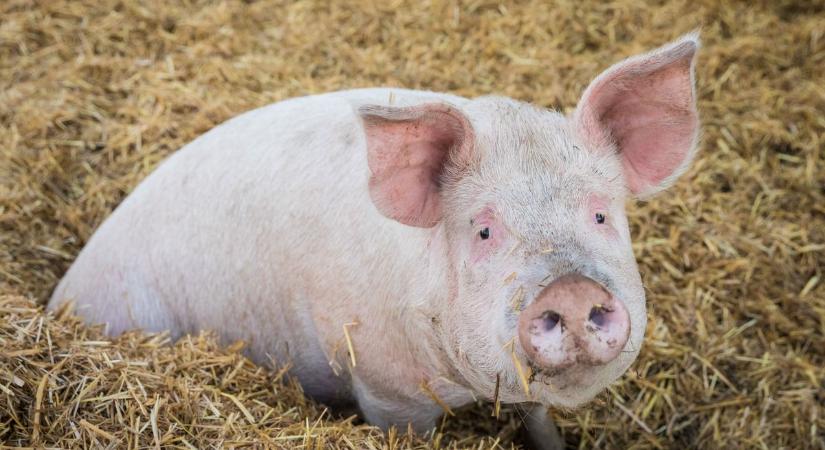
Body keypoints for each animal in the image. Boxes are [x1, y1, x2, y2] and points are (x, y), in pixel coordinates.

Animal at [48, 33, 700, 448]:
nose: (569, 289)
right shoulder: (386, 390)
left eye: (600, 215)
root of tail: (62, 293)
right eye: (484, 229)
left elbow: (539, 418)